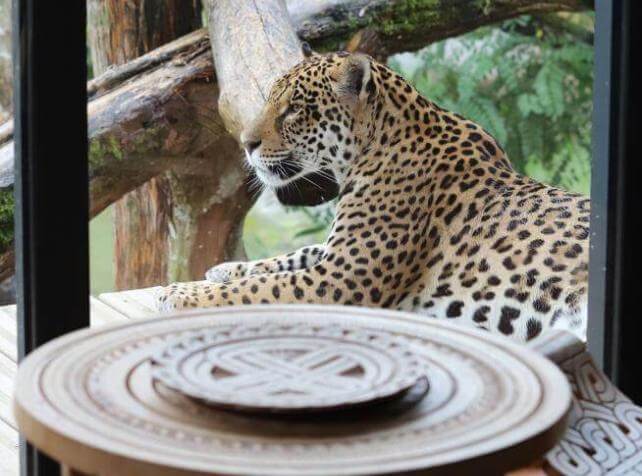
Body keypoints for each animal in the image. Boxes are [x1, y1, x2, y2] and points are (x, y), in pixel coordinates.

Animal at [156, 48, 590, 343]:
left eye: (294, 110)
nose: (246, 144)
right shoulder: (337, 253)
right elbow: (294, 255)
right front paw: (226, 269)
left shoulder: (339, 279)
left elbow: (260, 290)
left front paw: (178, 294)